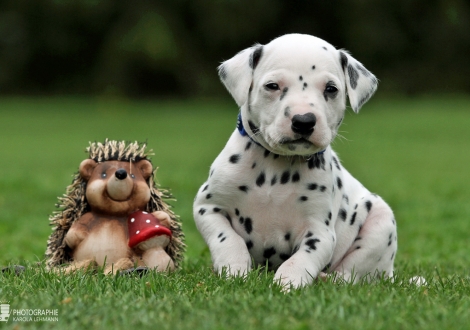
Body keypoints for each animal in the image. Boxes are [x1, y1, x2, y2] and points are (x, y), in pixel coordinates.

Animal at [194, 32, 396, 288]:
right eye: (272, 86)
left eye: (331, 89)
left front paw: (287, 283)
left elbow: (301, 259)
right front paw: (234, 270)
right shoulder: (208, 207)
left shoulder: (320, 232)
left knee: (350, 275)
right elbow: (227, 239)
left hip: (381, 222)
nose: (303, 121)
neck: (275, 166)